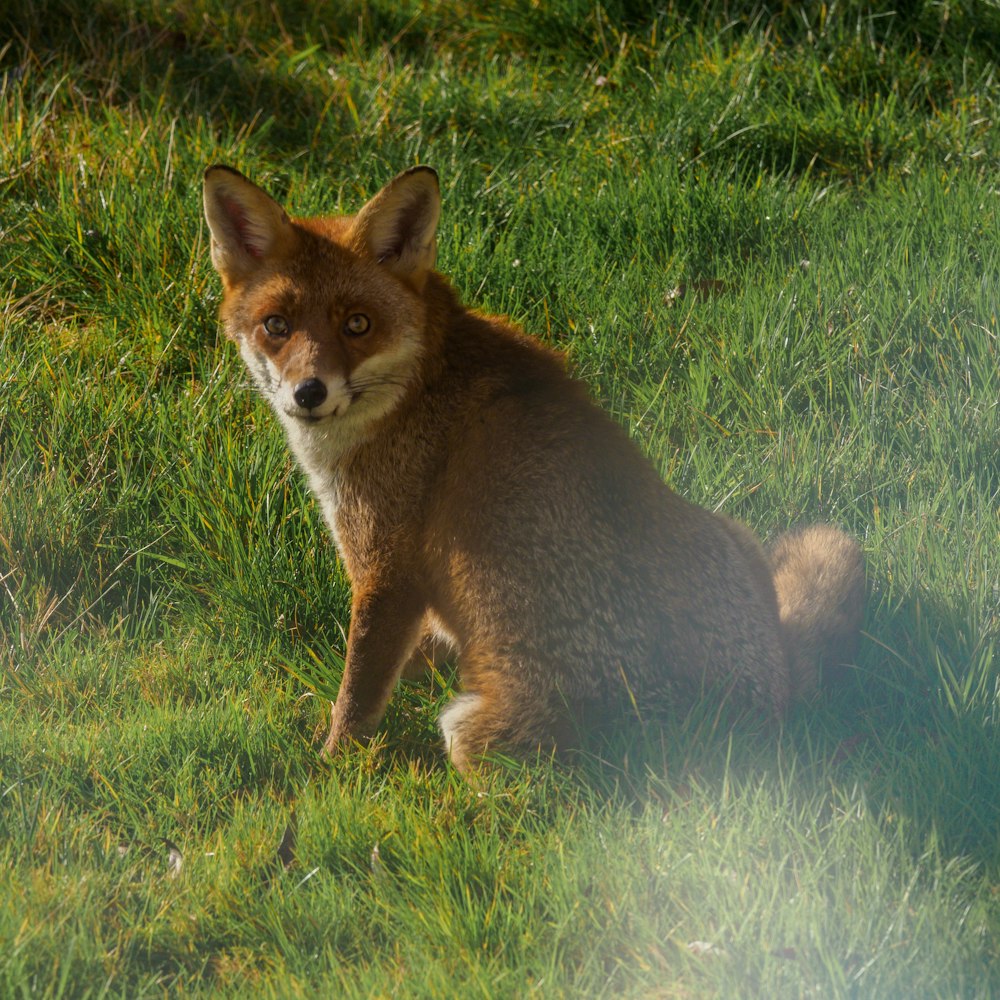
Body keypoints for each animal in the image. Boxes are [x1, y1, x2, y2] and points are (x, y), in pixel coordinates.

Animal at [203, 164, 868, 772]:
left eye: (357, 324)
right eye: (277, 326)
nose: (308, 392)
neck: (418, 388)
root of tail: (757, 726)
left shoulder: (386, 570)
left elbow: (358, 694)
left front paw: (330, 766)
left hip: (470, 731)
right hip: (732, 531)